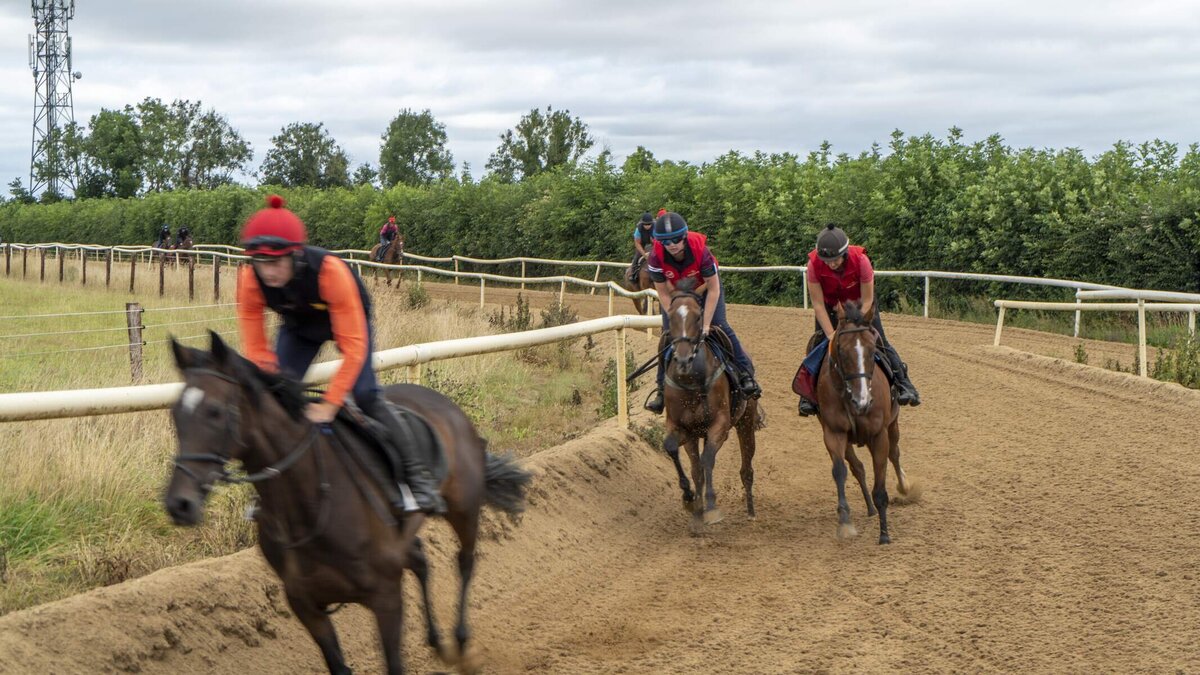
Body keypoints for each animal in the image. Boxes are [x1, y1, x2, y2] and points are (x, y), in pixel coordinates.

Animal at [163, 331, 530, 672]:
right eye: (175, 414)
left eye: (214, 411)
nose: (179, 504)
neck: (310, 505)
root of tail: (449, 407)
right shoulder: (305, 604)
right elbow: (338, 664)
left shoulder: (386, 597)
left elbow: (394, 663)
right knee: (420, 558)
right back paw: (436, 641)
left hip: (464, 506)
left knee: (465, 560)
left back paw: (461, 642)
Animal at [657, 279, 758, 530]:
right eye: (671, 315)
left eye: (698, 315)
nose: (683, 359)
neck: (692, 381)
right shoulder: (681, 427)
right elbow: (677, 453)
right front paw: (690, 501)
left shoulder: (720, 425)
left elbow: (708, 459)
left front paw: (710, 507)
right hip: (697, 434)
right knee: (697, 469)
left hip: (746, 422)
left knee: (746, 468)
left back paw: (751, 511)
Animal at [816, 302, 916, 542]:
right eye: (842, 351)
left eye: (872, 351)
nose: (863, 401)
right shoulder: (833, 432)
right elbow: (840, 471)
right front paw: (845, 522)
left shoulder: (879, 435)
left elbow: (880, 484)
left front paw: (884, 534)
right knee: (857, 467)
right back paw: (869, 508)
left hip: (893, 425)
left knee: (894, 454)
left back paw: (904, 487)